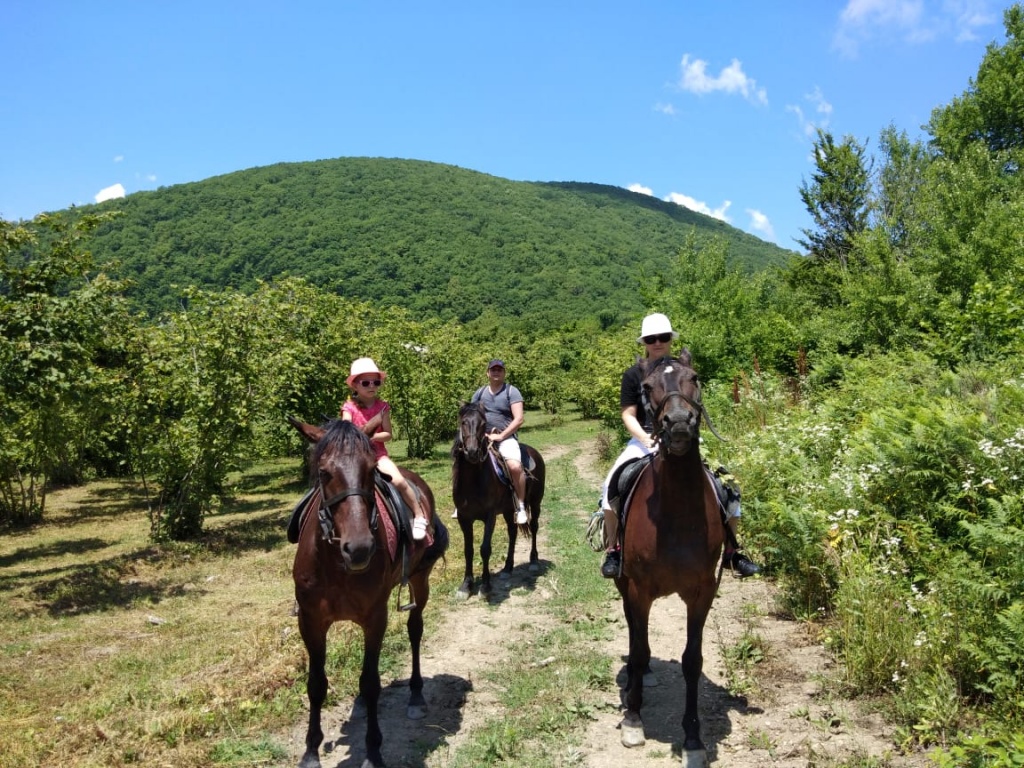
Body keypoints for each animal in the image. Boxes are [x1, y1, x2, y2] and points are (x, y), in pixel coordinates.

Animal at [288, 421, 448, 768]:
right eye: (324, 473)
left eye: (371, 470)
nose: (359, 548)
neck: (335, 563)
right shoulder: (310, 621)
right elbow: (316, 684)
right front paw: (310, 752)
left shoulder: (375, 617)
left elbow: (371, 682)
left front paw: (374, 752)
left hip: (420, 580)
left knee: (415, 630)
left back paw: (416, 695)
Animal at [450, 403, 544, 602]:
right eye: (463, 422)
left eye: (482, 424)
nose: (472, 452)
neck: (473, 481)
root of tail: (534, 453)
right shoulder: (464, 518)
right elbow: (468, 550)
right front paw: (466, 585)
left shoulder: (490, 516)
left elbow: (485, 549)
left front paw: (485, 587)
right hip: (508, 510)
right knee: (512, 533)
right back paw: (508, 567)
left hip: (535, 503)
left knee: (534, 527)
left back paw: (533, 560)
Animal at [610, 350, 724, 768]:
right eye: (646, 387)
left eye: (695, 377)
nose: (677, 423)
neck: (676, 510)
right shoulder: (639, 589)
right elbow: (640, 649)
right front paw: (633, 719)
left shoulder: (703, 592)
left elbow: (693, 661)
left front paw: (693, 738)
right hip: (625, 584)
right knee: (633, 632)